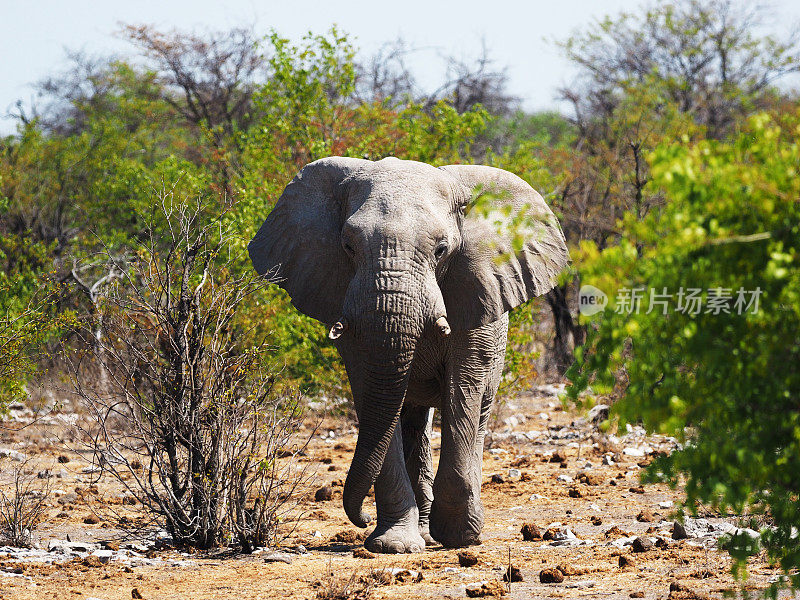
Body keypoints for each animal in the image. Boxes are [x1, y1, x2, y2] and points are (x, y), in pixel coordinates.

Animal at [250, 158, 568, 552]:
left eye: (442, 250)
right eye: (348, 246)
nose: (360, 517)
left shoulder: (475, 288)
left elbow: (464, 386)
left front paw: (460, 537)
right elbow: (371, 393)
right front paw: (393, 545)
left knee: (475, 411)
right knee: (409, 421)